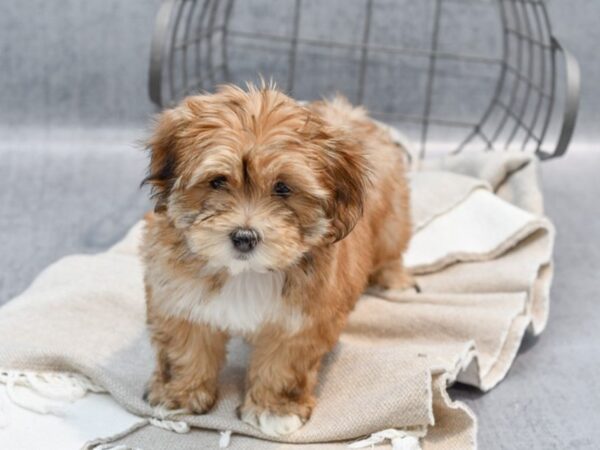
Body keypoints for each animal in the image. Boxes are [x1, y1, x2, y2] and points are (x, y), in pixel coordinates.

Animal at [141, 83, 412, 436]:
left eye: (283, 188)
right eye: (217, 181)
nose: (244, 236)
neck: (245, 272)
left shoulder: (300, 320)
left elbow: (281, 365)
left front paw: (274, 409)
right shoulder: (177, 297)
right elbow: (185, 349)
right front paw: (178, 395)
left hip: (394, 218)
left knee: (392, 249)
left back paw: (395, 281)